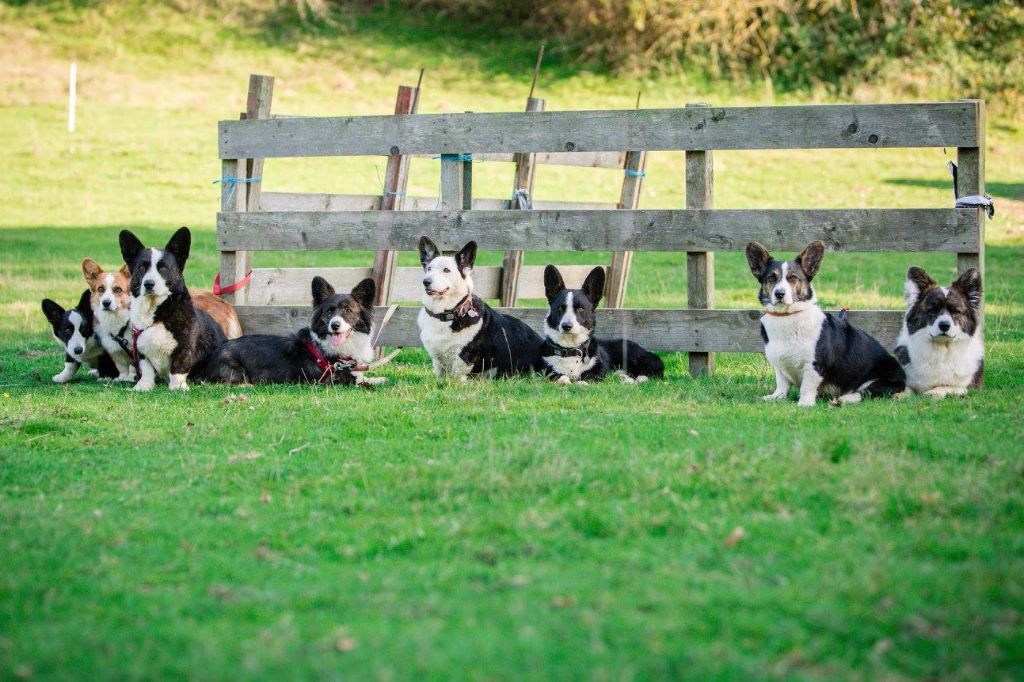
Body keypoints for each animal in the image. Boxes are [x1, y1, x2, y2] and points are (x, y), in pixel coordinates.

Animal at [119, 227, 228, 391]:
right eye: (142, 267)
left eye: (163, 268)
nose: (148, 284)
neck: (159, 314)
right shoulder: (140, 347)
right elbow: (146, 369)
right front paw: (143, 386)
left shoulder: (184, 347)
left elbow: (178, 367)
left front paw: (177, 387)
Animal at [417, 236, 544, 376]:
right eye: (429, 268)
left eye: (446, 270)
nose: (426, 282)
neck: (445, 313)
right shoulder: (437, 360)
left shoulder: (462, 358)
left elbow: (456, 376)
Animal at [745, 240, 905, 403]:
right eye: (771, 278)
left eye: (793, 278)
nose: (779, 294)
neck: (786, 316)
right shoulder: (779, 366)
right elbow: (782, 384)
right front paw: (776, 397)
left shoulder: (814, 365)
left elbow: (807, 387)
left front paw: (804, 403)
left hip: (879, 381)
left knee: (864, 393)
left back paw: (844, 399)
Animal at [897, 264, 983, 395]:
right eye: (932, 310)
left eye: (955, 311)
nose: (944, 325)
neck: (941, 352)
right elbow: (905, 387)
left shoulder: (968, 387)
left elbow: (946, 386)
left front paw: (933, 392)